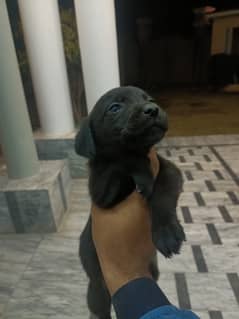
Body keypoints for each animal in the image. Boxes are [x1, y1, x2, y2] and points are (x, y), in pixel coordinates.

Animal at [75, 86, 186, 318]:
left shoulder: (169, 170)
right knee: (99, 307)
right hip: (97, 285)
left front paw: (166, 233)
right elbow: (120, 160)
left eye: (150, 99)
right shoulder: (101, 193)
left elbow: (162, 193)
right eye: (115, 107)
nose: (152, 109)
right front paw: (137, 165)